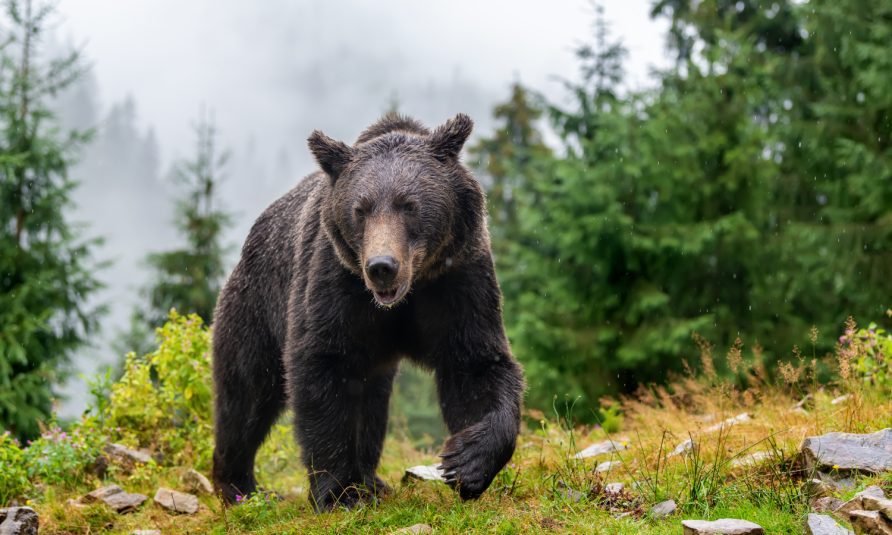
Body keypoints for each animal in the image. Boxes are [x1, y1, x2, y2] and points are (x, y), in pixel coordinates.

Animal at [213, 112, 528, 510]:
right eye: (360, 209)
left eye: (409, 204)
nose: (381, 266)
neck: (405, 295)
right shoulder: (336, 285)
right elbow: (323, 367)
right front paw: (340, 493)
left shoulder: (457, 281)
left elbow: (475, 365)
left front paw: (467, 463)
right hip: (257, 306)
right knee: (246, 394)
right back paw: (239, 485)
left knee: (372, 403)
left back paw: (373, 480)